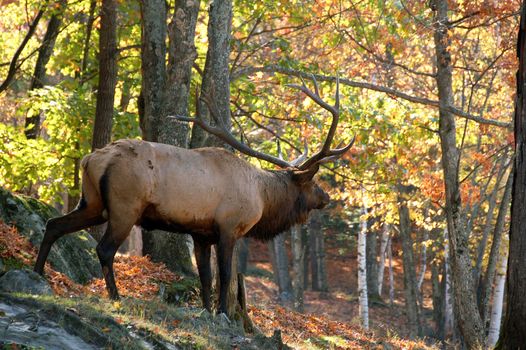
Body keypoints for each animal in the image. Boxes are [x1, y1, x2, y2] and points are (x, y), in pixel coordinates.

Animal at [34, 78, 354, 316]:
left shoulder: (201, 233)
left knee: (54, 224)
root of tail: (90, 159)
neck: (262, 200)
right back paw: (115, 296)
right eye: (313, 183)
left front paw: (206, 310)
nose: (326, 197)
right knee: (104, 248)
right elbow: (224, 275)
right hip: (125, 206)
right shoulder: (229, 227)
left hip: (92, 202)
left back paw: (37, 272)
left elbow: (204, 277)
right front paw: (222, 312)